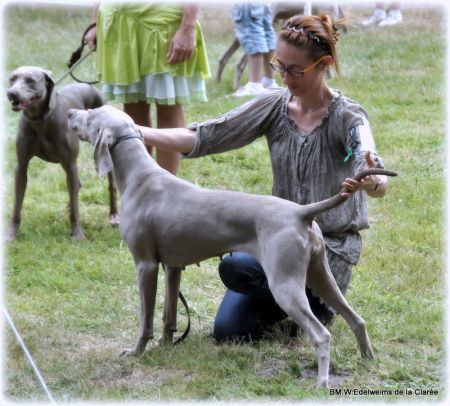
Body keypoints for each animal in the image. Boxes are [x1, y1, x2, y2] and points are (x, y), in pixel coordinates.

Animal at [5, 65, 118, 239]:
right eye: (12, 79)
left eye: (30, 80)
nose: (11, 93)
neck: (40, 119)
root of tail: (89, 85)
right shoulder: (21, 165)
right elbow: (17, 205)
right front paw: (10, 235)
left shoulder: (71, 163)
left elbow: (76, 209)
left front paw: (77, 234)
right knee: (76, 186)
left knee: (109, 185)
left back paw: (113, 214)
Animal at [67, 104, 398, 386]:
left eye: (91, 113)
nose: (69, 111)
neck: (140, 176)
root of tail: (301, 212)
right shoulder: (173, 266)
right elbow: (168, 315)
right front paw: (166, 345)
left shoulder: (145, 265)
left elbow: (145, 319)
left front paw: (136, 352)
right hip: (320, 274)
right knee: (356, 319)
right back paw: (368, 360)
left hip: (284, 284)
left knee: (322, 334)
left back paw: (322, 382)